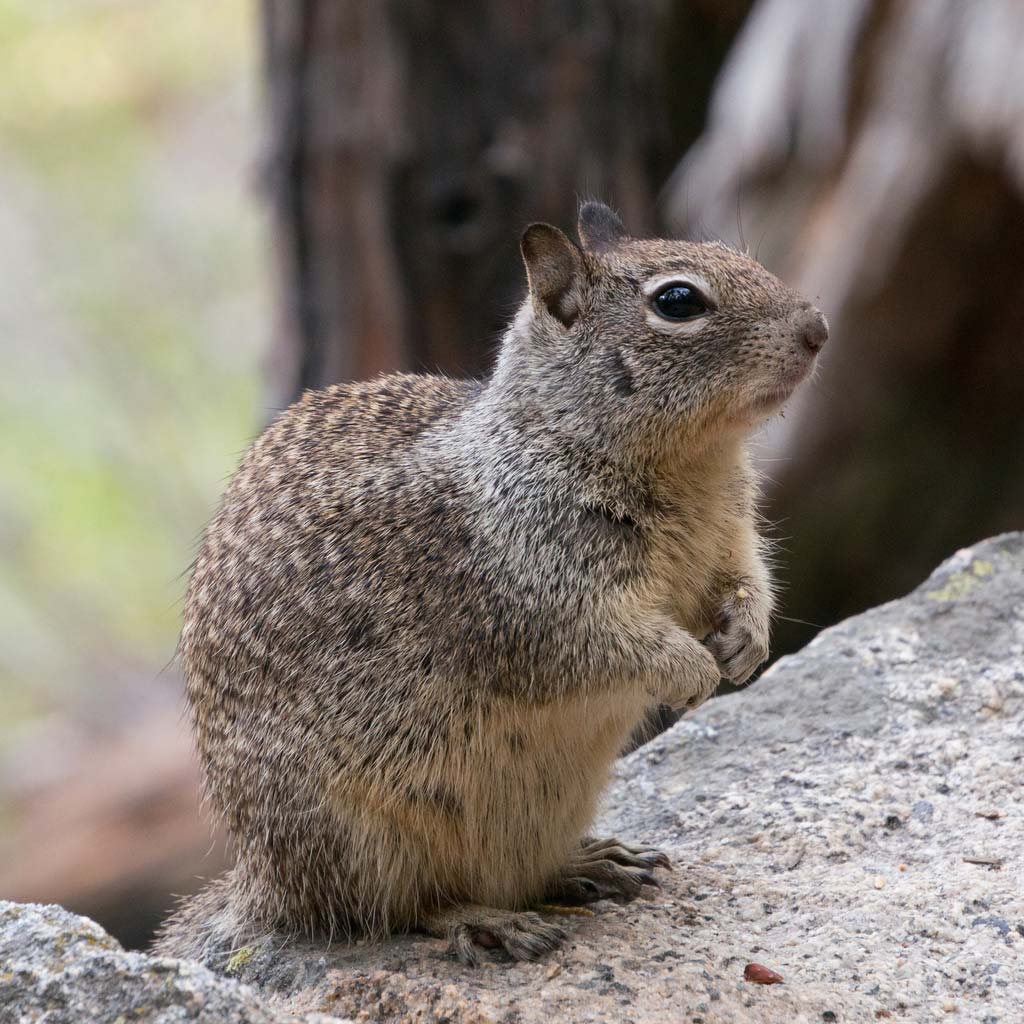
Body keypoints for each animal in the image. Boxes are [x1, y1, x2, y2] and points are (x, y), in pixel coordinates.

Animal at [155, 201, 827, 966]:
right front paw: (691, 669)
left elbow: (748, 579)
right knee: (395, 909)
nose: (818, 328)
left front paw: (747, 641)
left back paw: (592, 863)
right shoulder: (535, 599)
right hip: (359, 837)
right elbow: (611, 644)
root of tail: (262, 887)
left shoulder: (732, 537)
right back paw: (490, 921)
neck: (694, 467)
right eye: (678, 301)